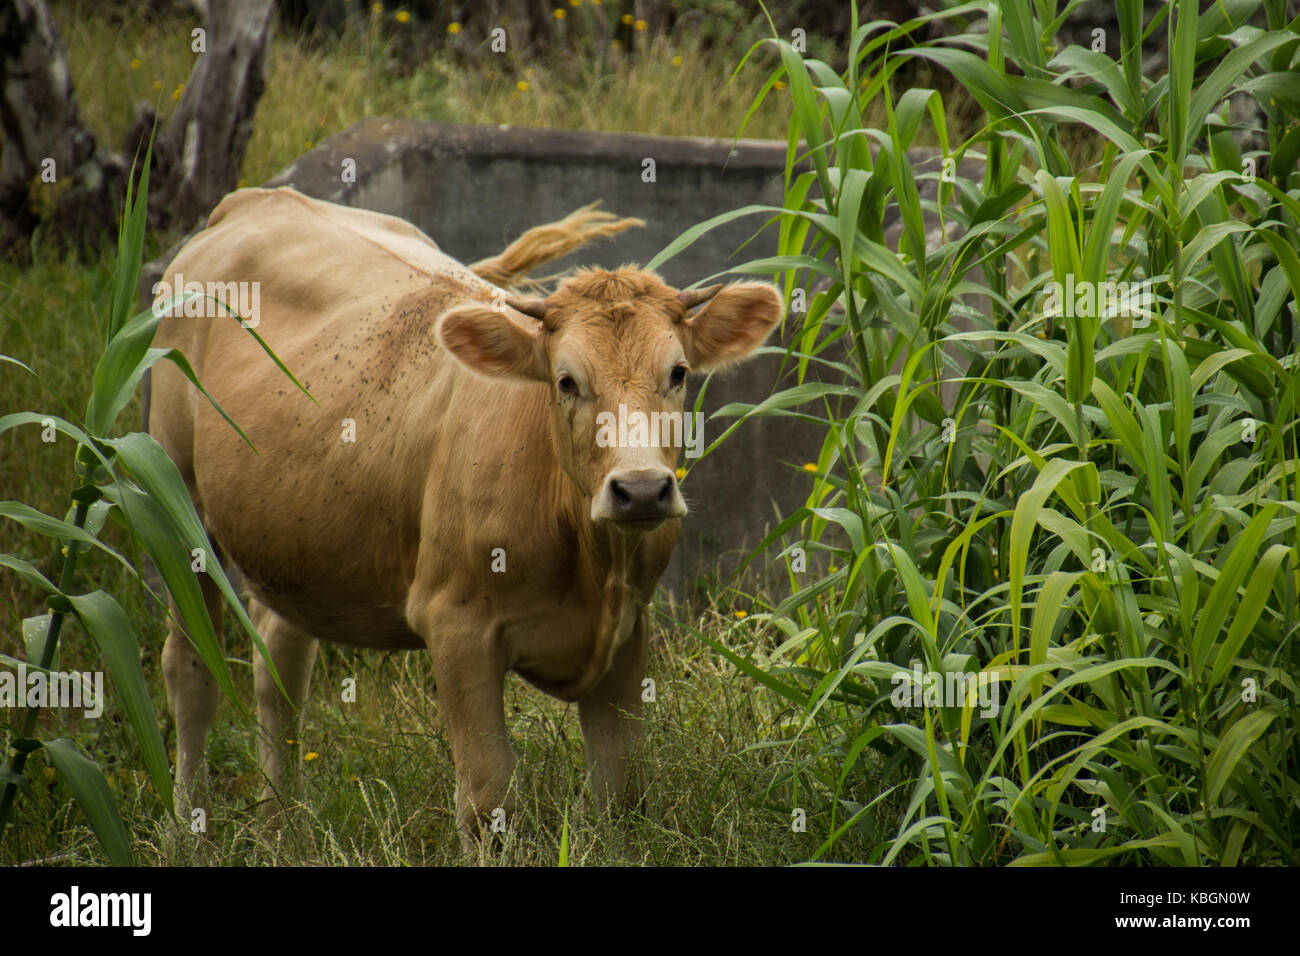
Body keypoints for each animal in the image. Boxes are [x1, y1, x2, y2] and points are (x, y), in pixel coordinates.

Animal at [149, 186, 783, 845]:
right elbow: (487, 795)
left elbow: (620, 789)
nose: (640, 490)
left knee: (281, 662)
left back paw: (284, 824)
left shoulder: (630, 626)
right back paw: (187, 827)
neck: (587, 560)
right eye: (566, 380)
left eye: (678, 374)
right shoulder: (456, 625)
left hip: (291, 538)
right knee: (190, 670)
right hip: (174, 495)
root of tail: (261, 197)